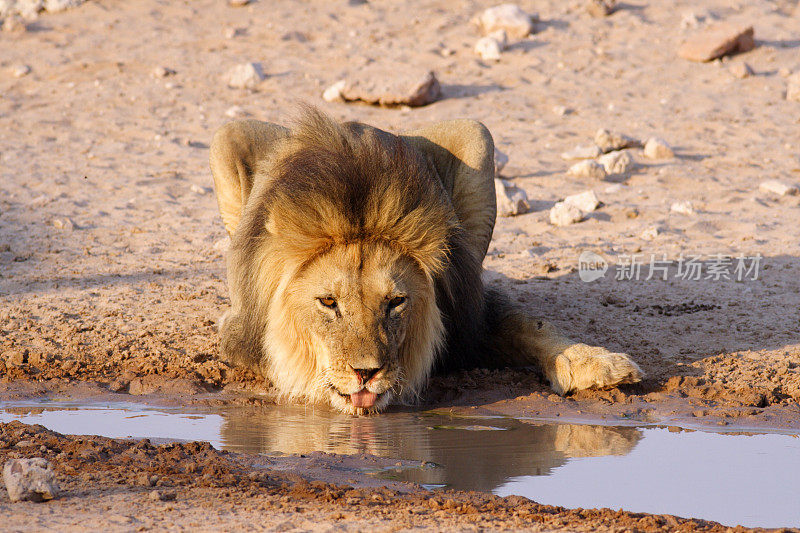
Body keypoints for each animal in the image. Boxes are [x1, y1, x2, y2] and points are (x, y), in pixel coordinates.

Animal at [208, 108, 644, 414]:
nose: (366, 373)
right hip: (227, 135)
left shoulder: (468, 315)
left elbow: (531, 325)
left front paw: (596, 363)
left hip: (475, 135)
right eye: (328, 303)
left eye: (396, 302)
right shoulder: (239, 334)